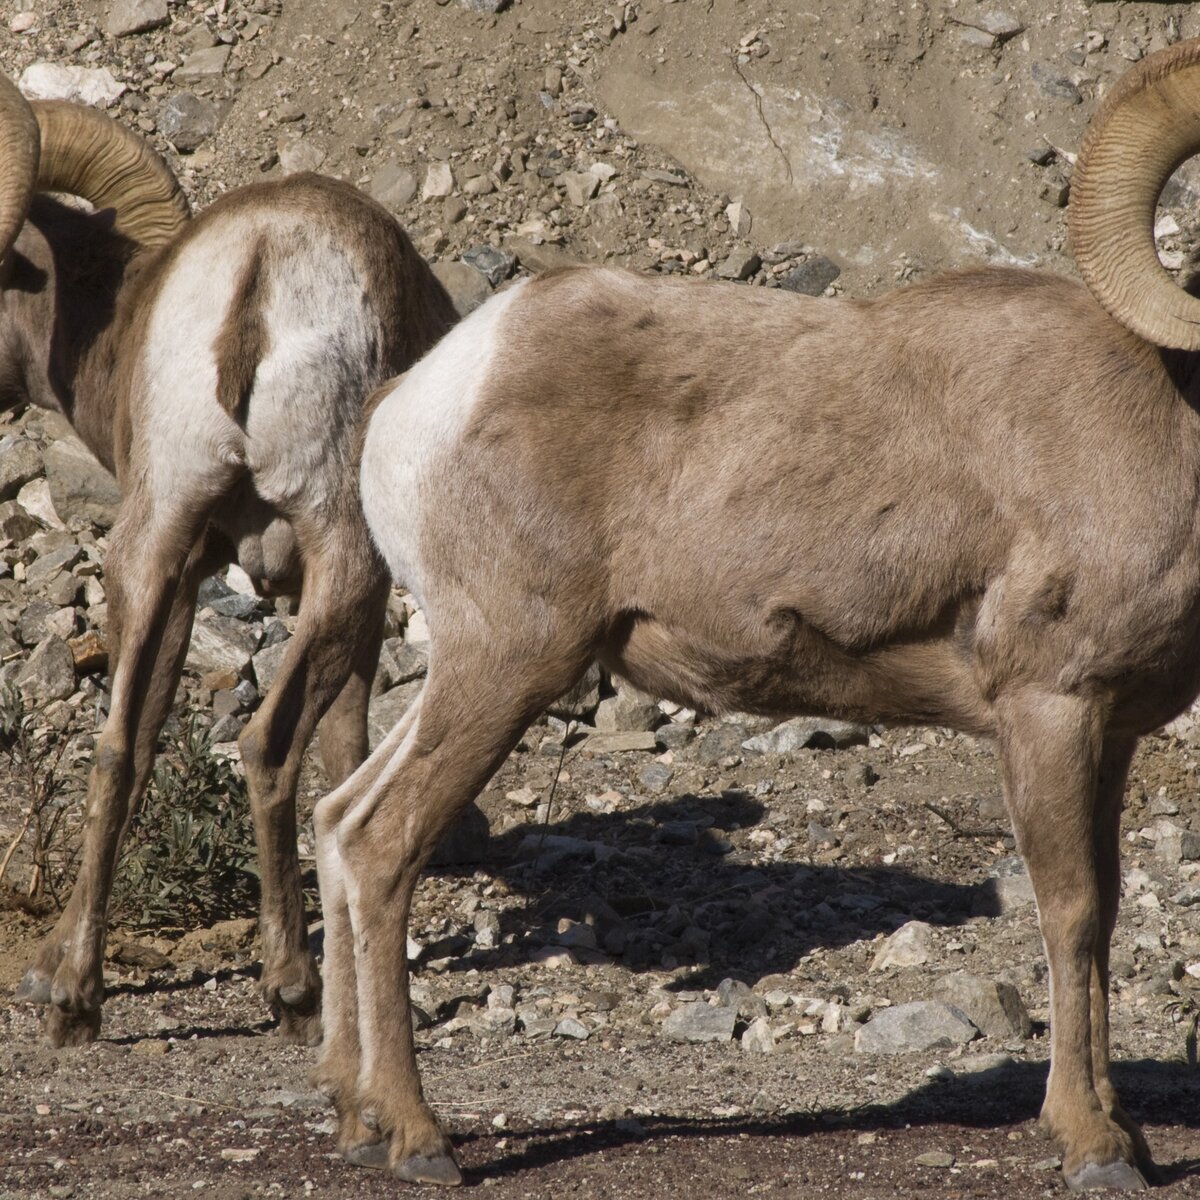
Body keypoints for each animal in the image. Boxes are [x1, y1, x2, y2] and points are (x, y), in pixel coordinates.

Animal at [0, 79, 458, 1046]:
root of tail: (260, 271)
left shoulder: (186, 574)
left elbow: (137, 740)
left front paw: (48, 973)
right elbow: (344, 749)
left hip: (154, 537)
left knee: (116, 748)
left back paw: (77, 1001)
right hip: (343, 557)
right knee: (266, 745)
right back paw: (294, 992)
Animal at [314, 37, 1200, 1190]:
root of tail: (415, 403)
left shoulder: (1110, 733)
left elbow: (1106, 913)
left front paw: (1123, 1132)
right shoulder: (1050, 709)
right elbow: (1074, 912)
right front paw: (1094, 1146)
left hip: (466, 676)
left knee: (339, 825)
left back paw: (358, 1115)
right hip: (507, 667)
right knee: (383, 846)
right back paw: (420, 1142)